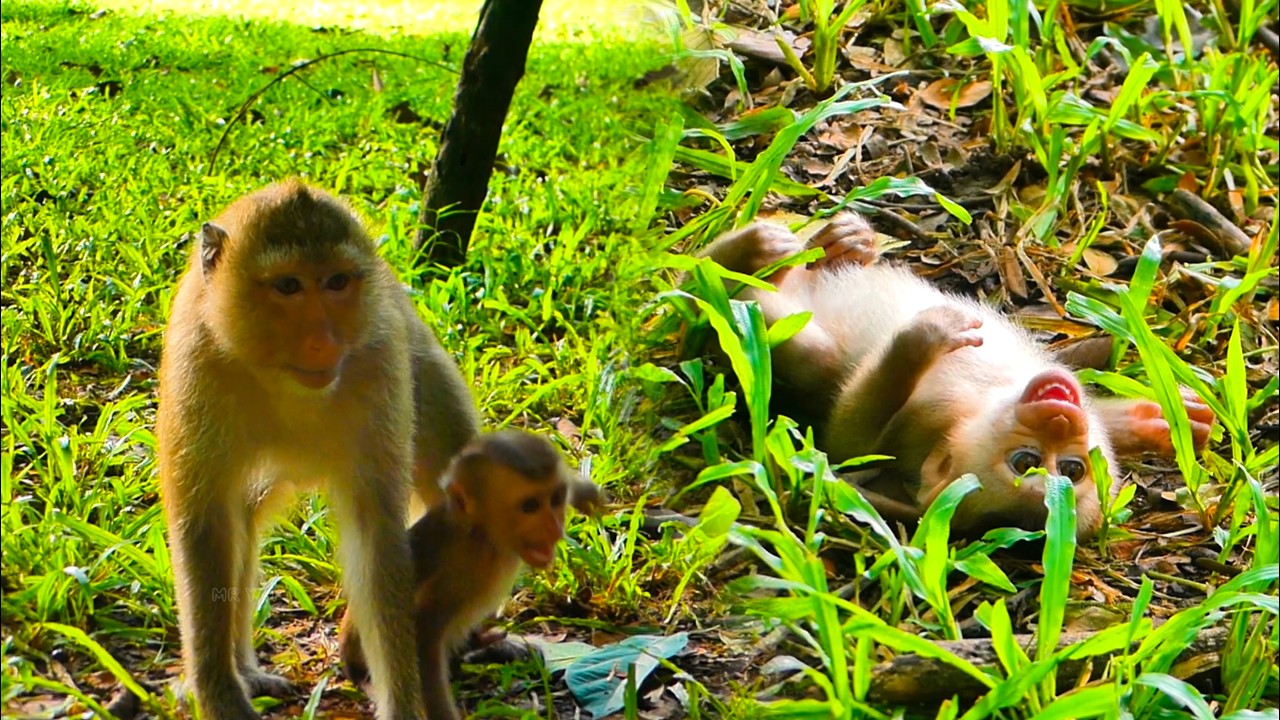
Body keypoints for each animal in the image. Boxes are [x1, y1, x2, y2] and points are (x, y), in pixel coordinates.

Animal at [156, 179, 480, 720]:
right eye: (288, 286)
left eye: (335, 282)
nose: (323, 343)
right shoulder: (197, 360)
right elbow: (205, 525)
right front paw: (219, 693)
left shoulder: (380, 361)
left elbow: (376, 538)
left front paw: (402, 702)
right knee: (240, 517)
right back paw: (244, 670)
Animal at [336, 430, 600, 720]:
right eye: (530, 506)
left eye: (555, 499)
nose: (554, 526)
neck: (482, 536)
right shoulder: (464, 571)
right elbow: (424, 637)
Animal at [694, 213, 1216, 540]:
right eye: (1035, 463)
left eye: (1066, 470)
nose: (1062, 420)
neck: (985, 398)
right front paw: (1154, 420)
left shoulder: (919, 428)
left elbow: (844, 444)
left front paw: (920, 341)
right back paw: (832, 243)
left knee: (724, 307)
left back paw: (734, 260)